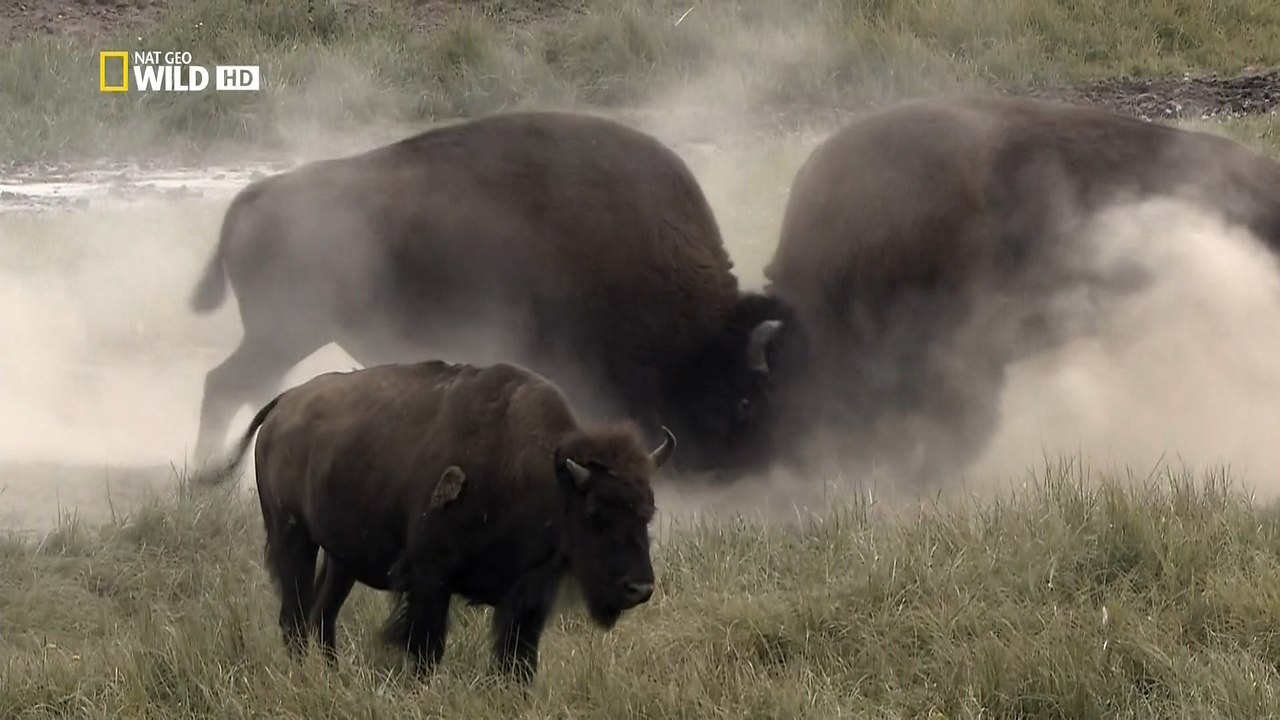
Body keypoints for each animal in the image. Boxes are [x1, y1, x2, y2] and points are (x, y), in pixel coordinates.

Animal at [188, 110, 788, 476]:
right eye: (743, 398)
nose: (739, 470)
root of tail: (253, 196)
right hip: (284, 333)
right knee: (223, 385)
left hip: (284, 337)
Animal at [212, 356, 670, 676]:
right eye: (595, 512)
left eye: (648, 511)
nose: (640, 588)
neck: (544, 474)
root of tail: (284, 404)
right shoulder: (429, 578)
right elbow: (426, 648)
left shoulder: (528, 594)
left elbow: (516, 660)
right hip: (293, 538)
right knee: (294, 616)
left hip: (341, 558)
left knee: (321, 613)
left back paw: (333, 676)